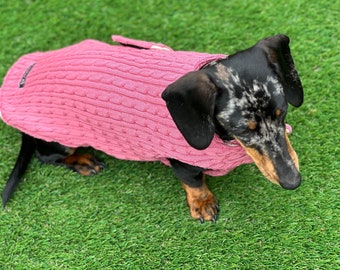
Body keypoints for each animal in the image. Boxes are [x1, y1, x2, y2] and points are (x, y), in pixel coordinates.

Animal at [0, 34, 302, 223]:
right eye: (244, 130)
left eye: (282, 113)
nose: (293, 182)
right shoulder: (180, 159)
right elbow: (194, 182)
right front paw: (202, 204)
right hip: (60, 138)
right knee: (46, 154)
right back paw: (83, 161)